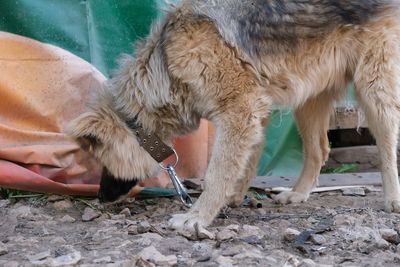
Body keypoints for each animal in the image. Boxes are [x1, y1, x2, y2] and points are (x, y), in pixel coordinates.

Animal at [67, 0, 400, 233]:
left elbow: (218, 171)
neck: (166, 66)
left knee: (386, 148)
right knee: (319, 148)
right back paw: (298, 193)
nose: (100, 197)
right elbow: (245, 162)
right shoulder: (254, 110)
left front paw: (197, 216)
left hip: (374, 87)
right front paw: (231, 197)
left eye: (101, 160)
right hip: (309, 95)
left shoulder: (241, 109)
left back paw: (393, 199)